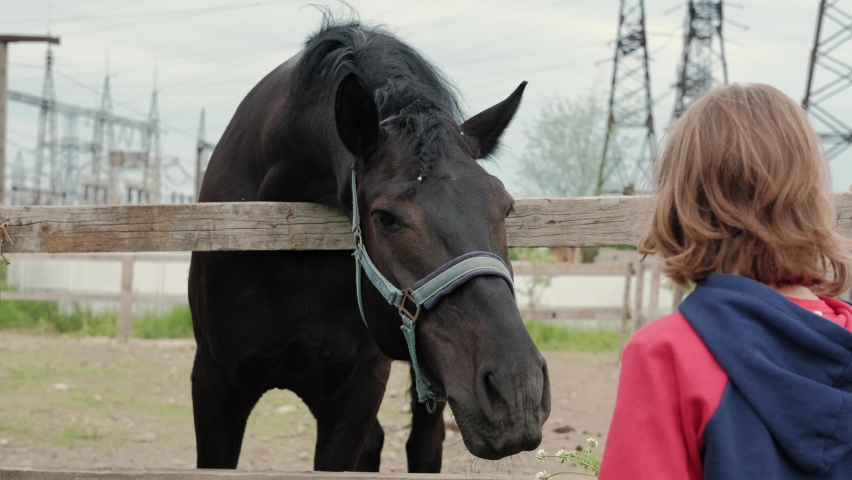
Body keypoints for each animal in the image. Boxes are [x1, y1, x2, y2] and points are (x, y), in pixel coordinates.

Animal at [188, 15, 551, 472]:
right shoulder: (215, 382)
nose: (517, 388)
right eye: (384, 218)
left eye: (506, 207)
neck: (290, 254)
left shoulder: (358, 390)